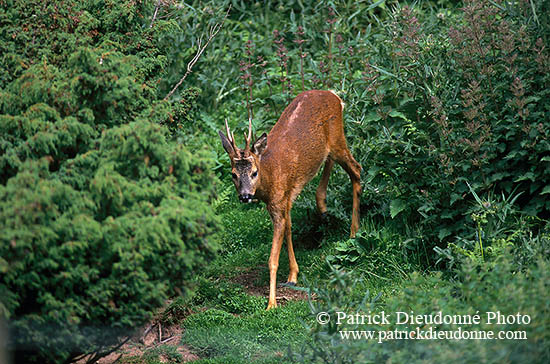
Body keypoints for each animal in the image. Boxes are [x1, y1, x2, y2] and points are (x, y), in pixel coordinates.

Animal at [220, 89, 362, 308]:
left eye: (254, 172)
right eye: (233, 174)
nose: (245, 196)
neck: (269, 177)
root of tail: (336, 97)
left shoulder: (279, 201)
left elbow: (272, 258)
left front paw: (271, 304)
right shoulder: (283, 201)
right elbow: (288, 229)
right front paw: (293, 276)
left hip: (338, 136)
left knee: (357, 169)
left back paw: (354, 233)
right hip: (330, 145)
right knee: (330, 160)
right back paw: (322, 206)